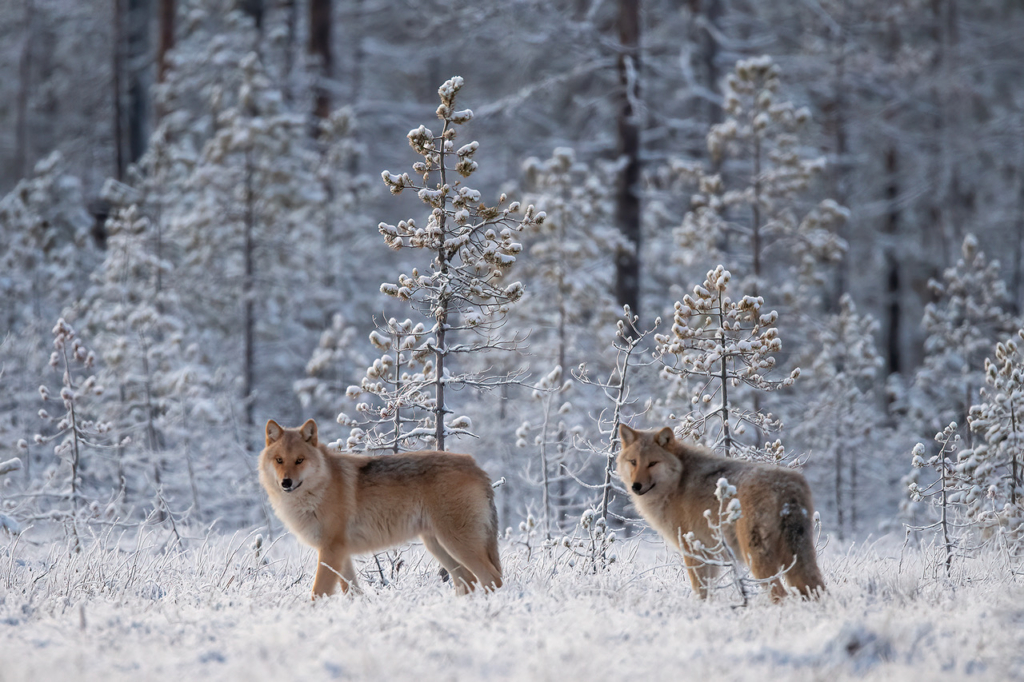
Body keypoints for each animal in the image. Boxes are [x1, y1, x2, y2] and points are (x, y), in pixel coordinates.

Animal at [258, 417, 501, 598]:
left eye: (300, 460)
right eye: (279, 460)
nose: (286, 483)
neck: (318, 491)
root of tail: (476, 466)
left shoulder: (330, 550)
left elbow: (317, 594)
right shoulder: (341, 553)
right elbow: (353, 592)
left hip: (456, 544)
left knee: (492, 578)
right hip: (438, 546)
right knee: (468, 581)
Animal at [614, 425, 823, 602]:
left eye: (652, 463)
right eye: (633, 462)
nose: (636, 486)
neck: (677, 481)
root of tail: (786, 487)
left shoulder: (693, 551)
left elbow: (700, 591)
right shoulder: (710, 555)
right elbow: (709, 592)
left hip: (756, 559)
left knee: (780, 595)